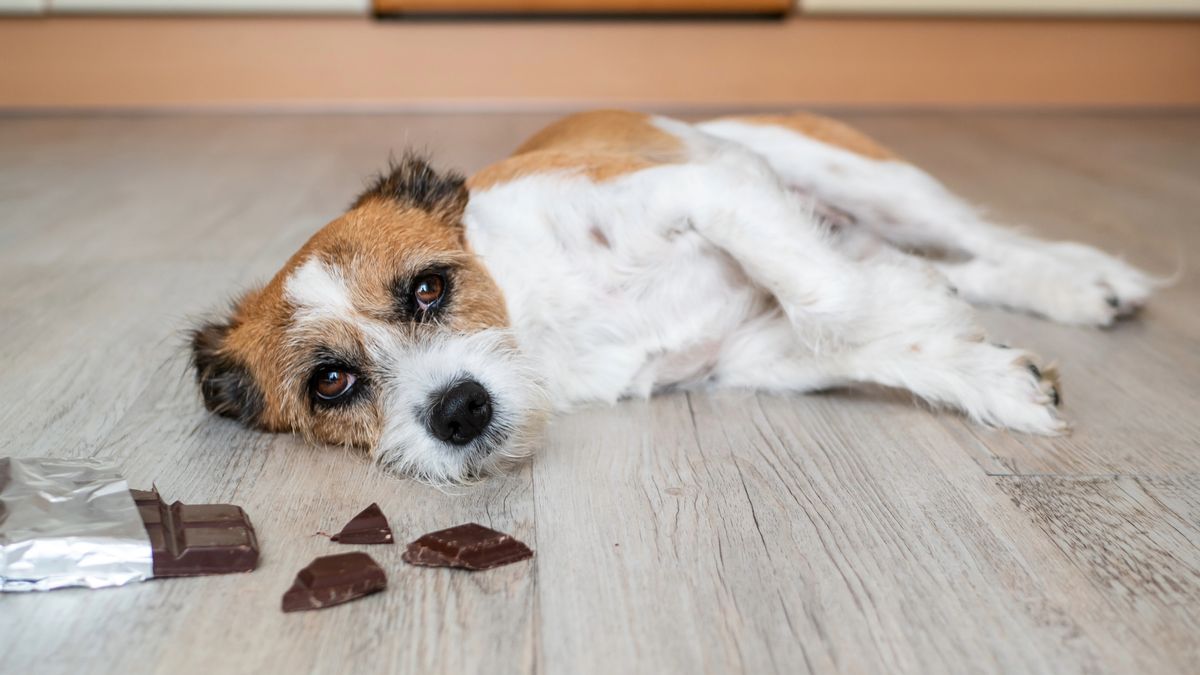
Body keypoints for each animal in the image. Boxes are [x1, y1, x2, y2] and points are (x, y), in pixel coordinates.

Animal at [192, 110, 1156, 480]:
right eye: (332, 382)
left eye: (429, 287)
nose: (459, 410)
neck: (538, 315)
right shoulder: (747, 354)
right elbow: (849, 333)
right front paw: (984, 371)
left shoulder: (707, 187)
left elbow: (829, 299)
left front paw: (909, 310)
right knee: (959, 262)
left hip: (863, 177)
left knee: (984, 240)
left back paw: (1087, 280)